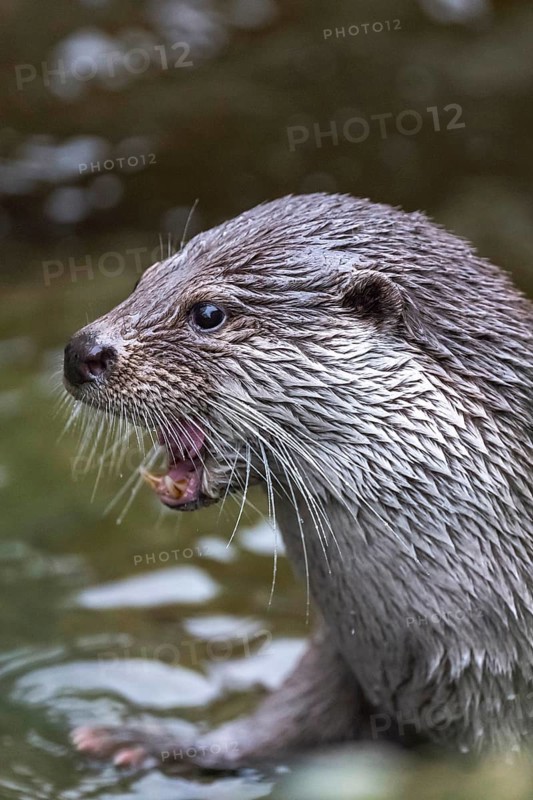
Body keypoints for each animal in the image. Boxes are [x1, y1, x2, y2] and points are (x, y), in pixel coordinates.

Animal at [64, 193, 533, 770]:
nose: (81, 352)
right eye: (143, 279)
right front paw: (145, 738)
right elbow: (281, 721)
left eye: (208, 314)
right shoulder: (336, 659)